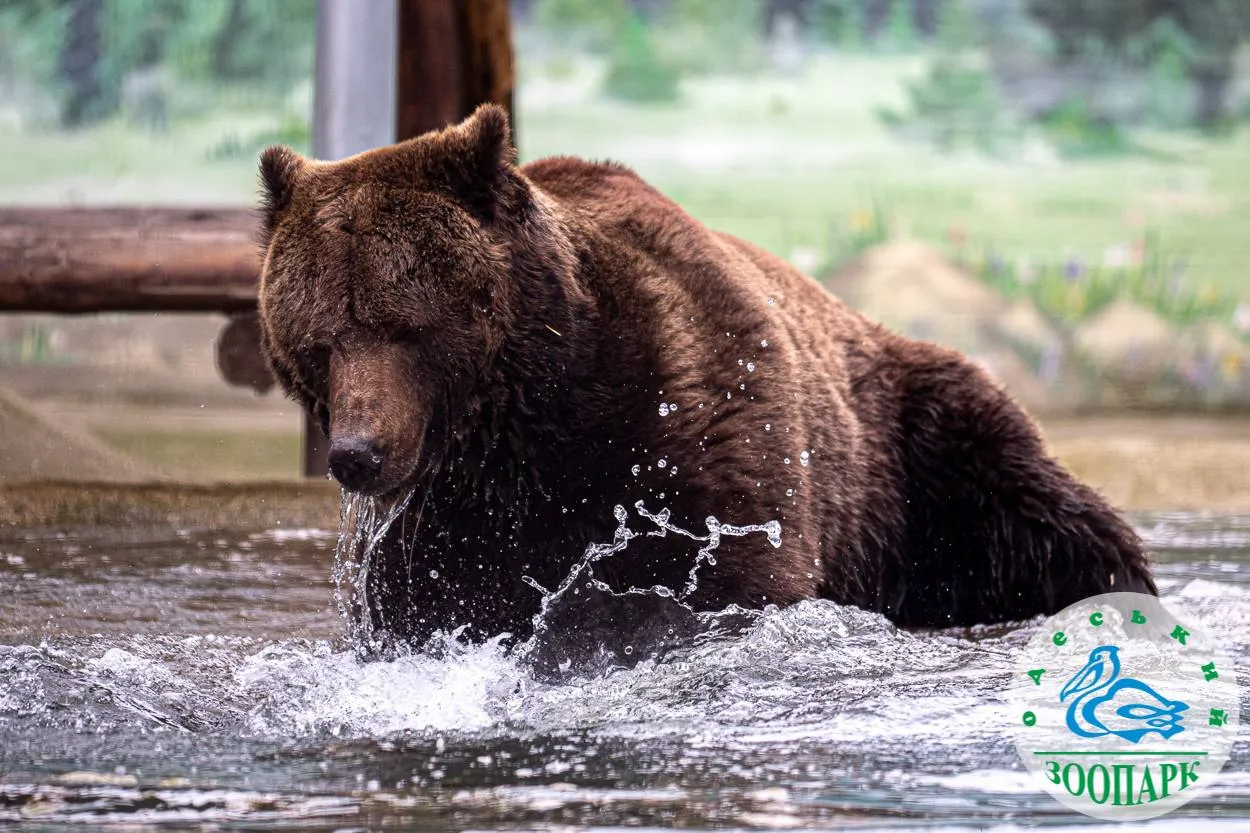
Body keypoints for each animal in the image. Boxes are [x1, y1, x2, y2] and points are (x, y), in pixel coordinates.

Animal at [253, 103, 1150, 645]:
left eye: (406, 326)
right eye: (320, 340)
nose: (358, 454)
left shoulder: (691, 414)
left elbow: (733, 571)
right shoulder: (443, 522)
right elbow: (432, 608)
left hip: (917, 453)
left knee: (1050, 523)